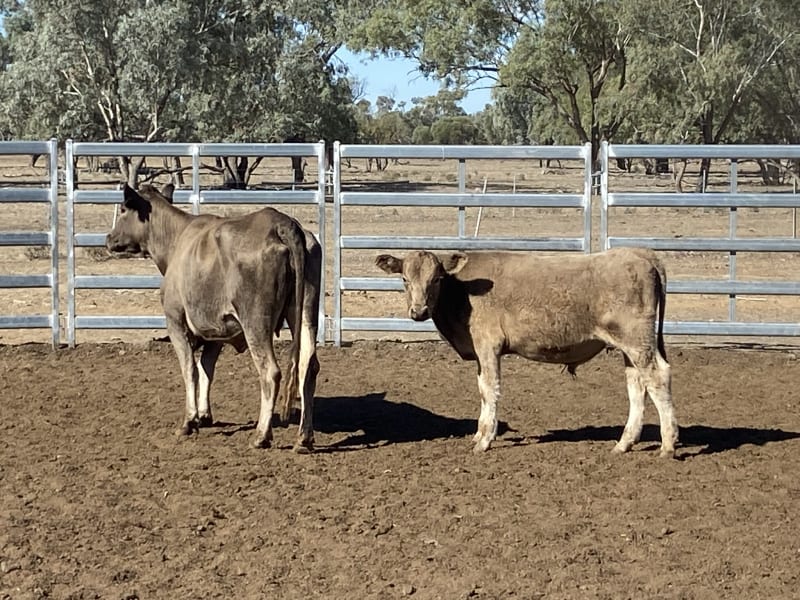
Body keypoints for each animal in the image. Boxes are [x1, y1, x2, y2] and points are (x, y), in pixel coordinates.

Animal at [106, 183, 320, 452]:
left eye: (123, 209)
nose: (109, 238)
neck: (176, 239)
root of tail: (282, 223)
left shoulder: (175, 321)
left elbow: (190, 369)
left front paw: (188, 421)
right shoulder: (216, 330)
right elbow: (207, 367)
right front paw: (204, 414)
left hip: (256, 322)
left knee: (270, 372)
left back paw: (261, 435)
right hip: (305, 313)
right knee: (308, 367)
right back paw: (304, 438)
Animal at [376, 248, 678, 457]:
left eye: (437, 279)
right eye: (404, 279)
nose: (418, 312)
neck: (463, 291)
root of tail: (640, 253)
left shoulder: (488, 346)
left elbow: (490, 390)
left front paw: (484, 441)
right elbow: (482, 391)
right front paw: (478, 435)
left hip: (637, 341)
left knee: (658, 377)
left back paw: (668, 444)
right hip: (629, 347)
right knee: (637, 386)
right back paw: (624, 443)